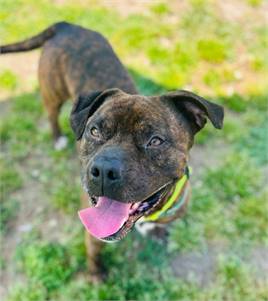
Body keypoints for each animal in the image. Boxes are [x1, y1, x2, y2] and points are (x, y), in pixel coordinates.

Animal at [0, 21, 223, 282]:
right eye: (95, 131)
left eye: (155, 141)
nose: (104, 170)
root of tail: (67, 25)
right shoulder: (92, 233)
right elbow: (94, 253)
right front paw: (96, 274)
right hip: (52, 93)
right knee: (52, 115)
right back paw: (57, 138)